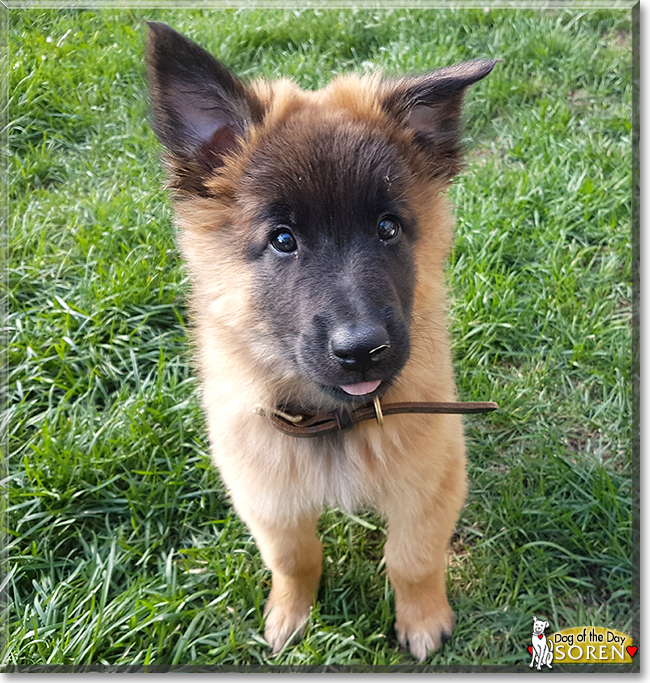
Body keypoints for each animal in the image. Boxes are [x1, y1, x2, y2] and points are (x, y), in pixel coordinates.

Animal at [144, 22, 494, 664]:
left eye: (387, 227)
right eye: (283, 240)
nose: (363, 349)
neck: (335, 420)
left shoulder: (429, 481)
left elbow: (411, 559)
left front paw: (423, 619)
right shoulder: (264, 493)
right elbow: (293, 557)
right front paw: (290, 614)